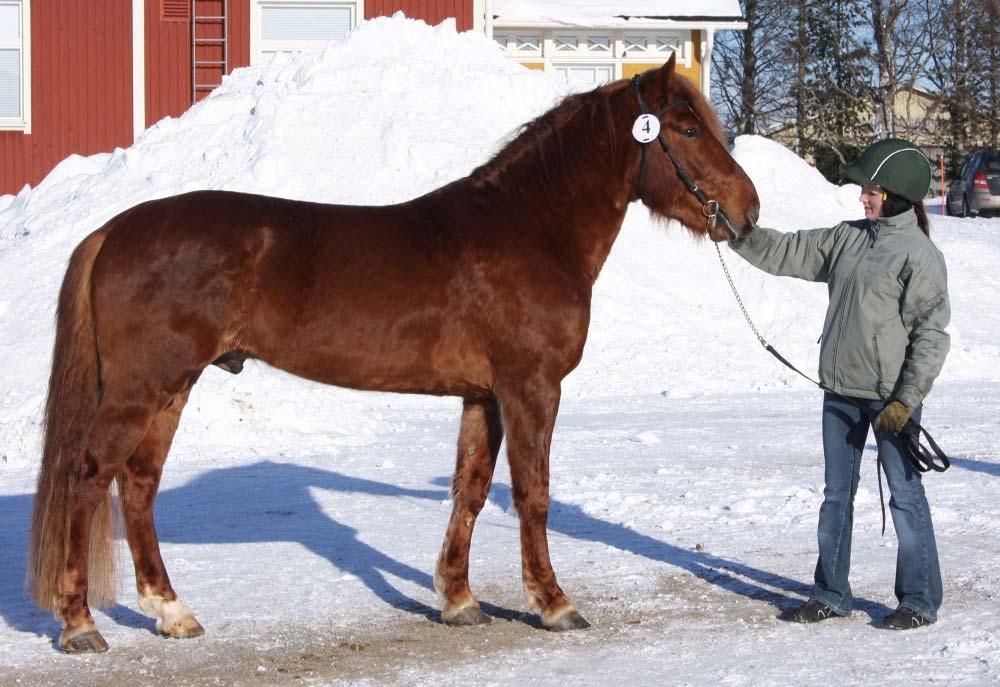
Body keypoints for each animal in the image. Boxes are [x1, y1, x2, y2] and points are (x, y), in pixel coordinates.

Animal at [27, 56, 752, 652]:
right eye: (686, 129)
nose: (748, 208)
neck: (531, 228)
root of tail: (115, 228)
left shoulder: (483, 395)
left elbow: (470, 489)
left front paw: (458, 600)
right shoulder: (530, 387)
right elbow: (533, 492)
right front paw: (554, 603)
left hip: (172, 388)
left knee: (137, 484)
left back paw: (172, 612)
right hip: (141, 388)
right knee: (89, 476)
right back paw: (80, 624)